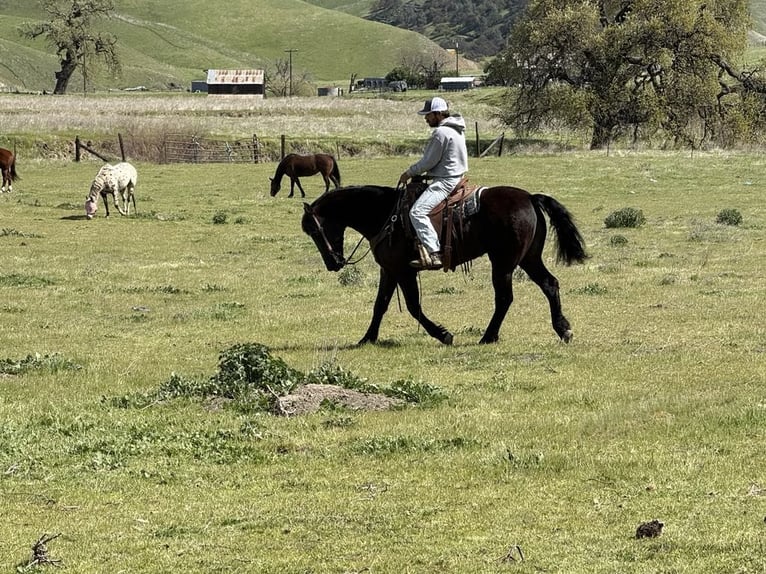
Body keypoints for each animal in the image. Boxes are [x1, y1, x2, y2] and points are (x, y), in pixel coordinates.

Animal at [302, 184, 588, 346]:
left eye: (314, 230)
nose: (333, 264)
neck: (384, 214)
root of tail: (529, 197)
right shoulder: (389, 270)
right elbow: (380, 305)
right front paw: (367, 338)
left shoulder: (404, 271)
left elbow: (413, 306)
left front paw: (443, 334)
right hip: (529, 259)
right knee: (550, 284)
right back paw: (563, 330)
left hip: (503, 262)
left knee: (505, 297)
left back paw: (488, 336)